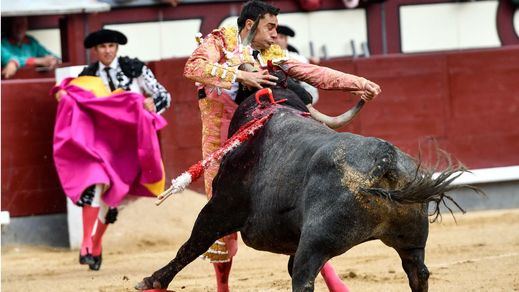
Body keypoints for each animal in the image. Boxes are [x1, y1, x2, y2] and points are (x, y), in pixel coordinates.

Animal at [136, 87, 478, 292]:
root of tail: (386, 158)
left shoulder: (220, 208)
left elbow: (191, 245)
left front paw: (151, 281)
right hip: (410, 239)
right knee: (418, 273)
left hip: (317, 239)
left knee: (303, 279)